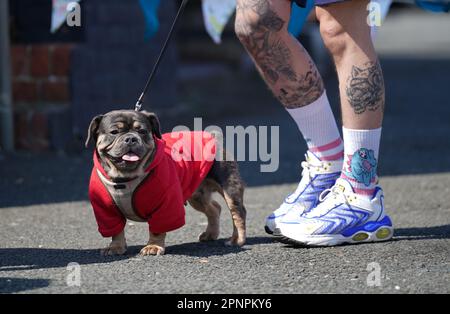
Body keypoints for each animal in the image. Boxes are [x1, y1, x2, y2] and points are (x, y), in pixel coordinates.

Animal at [86, 110, 248, 255]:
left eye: (142, 131)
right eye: (114, 132)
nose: (131, 138)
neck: (125, 178)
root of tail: (214, 137)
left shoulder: (166, 205)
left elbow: (158, 229)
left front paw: (153, 246)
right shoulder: (106, 211)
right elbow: (116, 230)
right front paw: (116, 247)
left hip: (228, 187)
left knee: (238, 212)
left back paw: (236, 240)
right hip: (197, 196)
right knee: (214, 208)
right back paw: (210, 234)